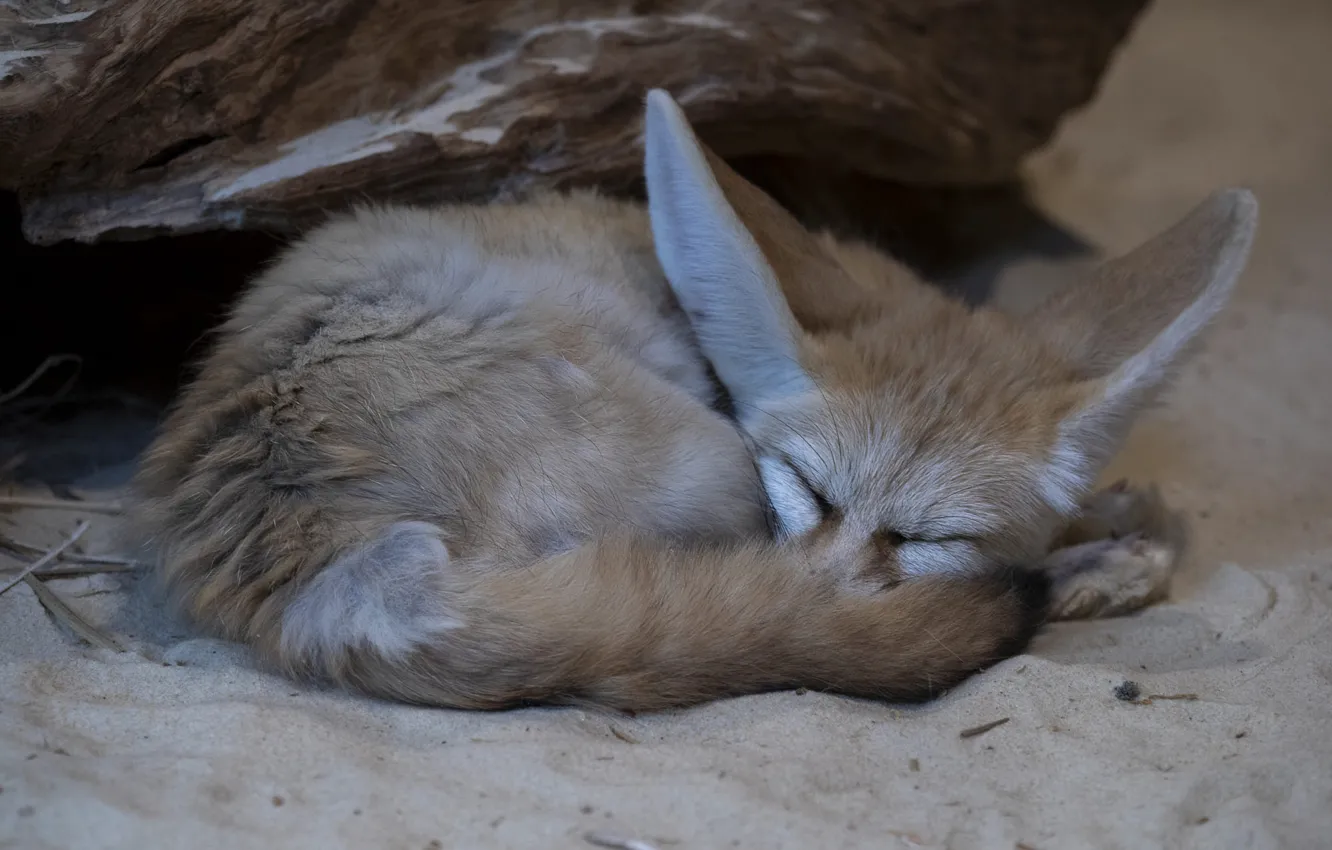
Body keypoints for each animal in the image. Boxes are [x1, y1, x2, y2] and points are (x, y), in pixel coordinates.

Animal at [128, 90, 1257, 711]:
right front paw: (1100, 542)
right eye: (807, 487)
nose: (832, 585)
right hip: (705, 461)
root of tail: (317, 560)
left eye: (931, 536)